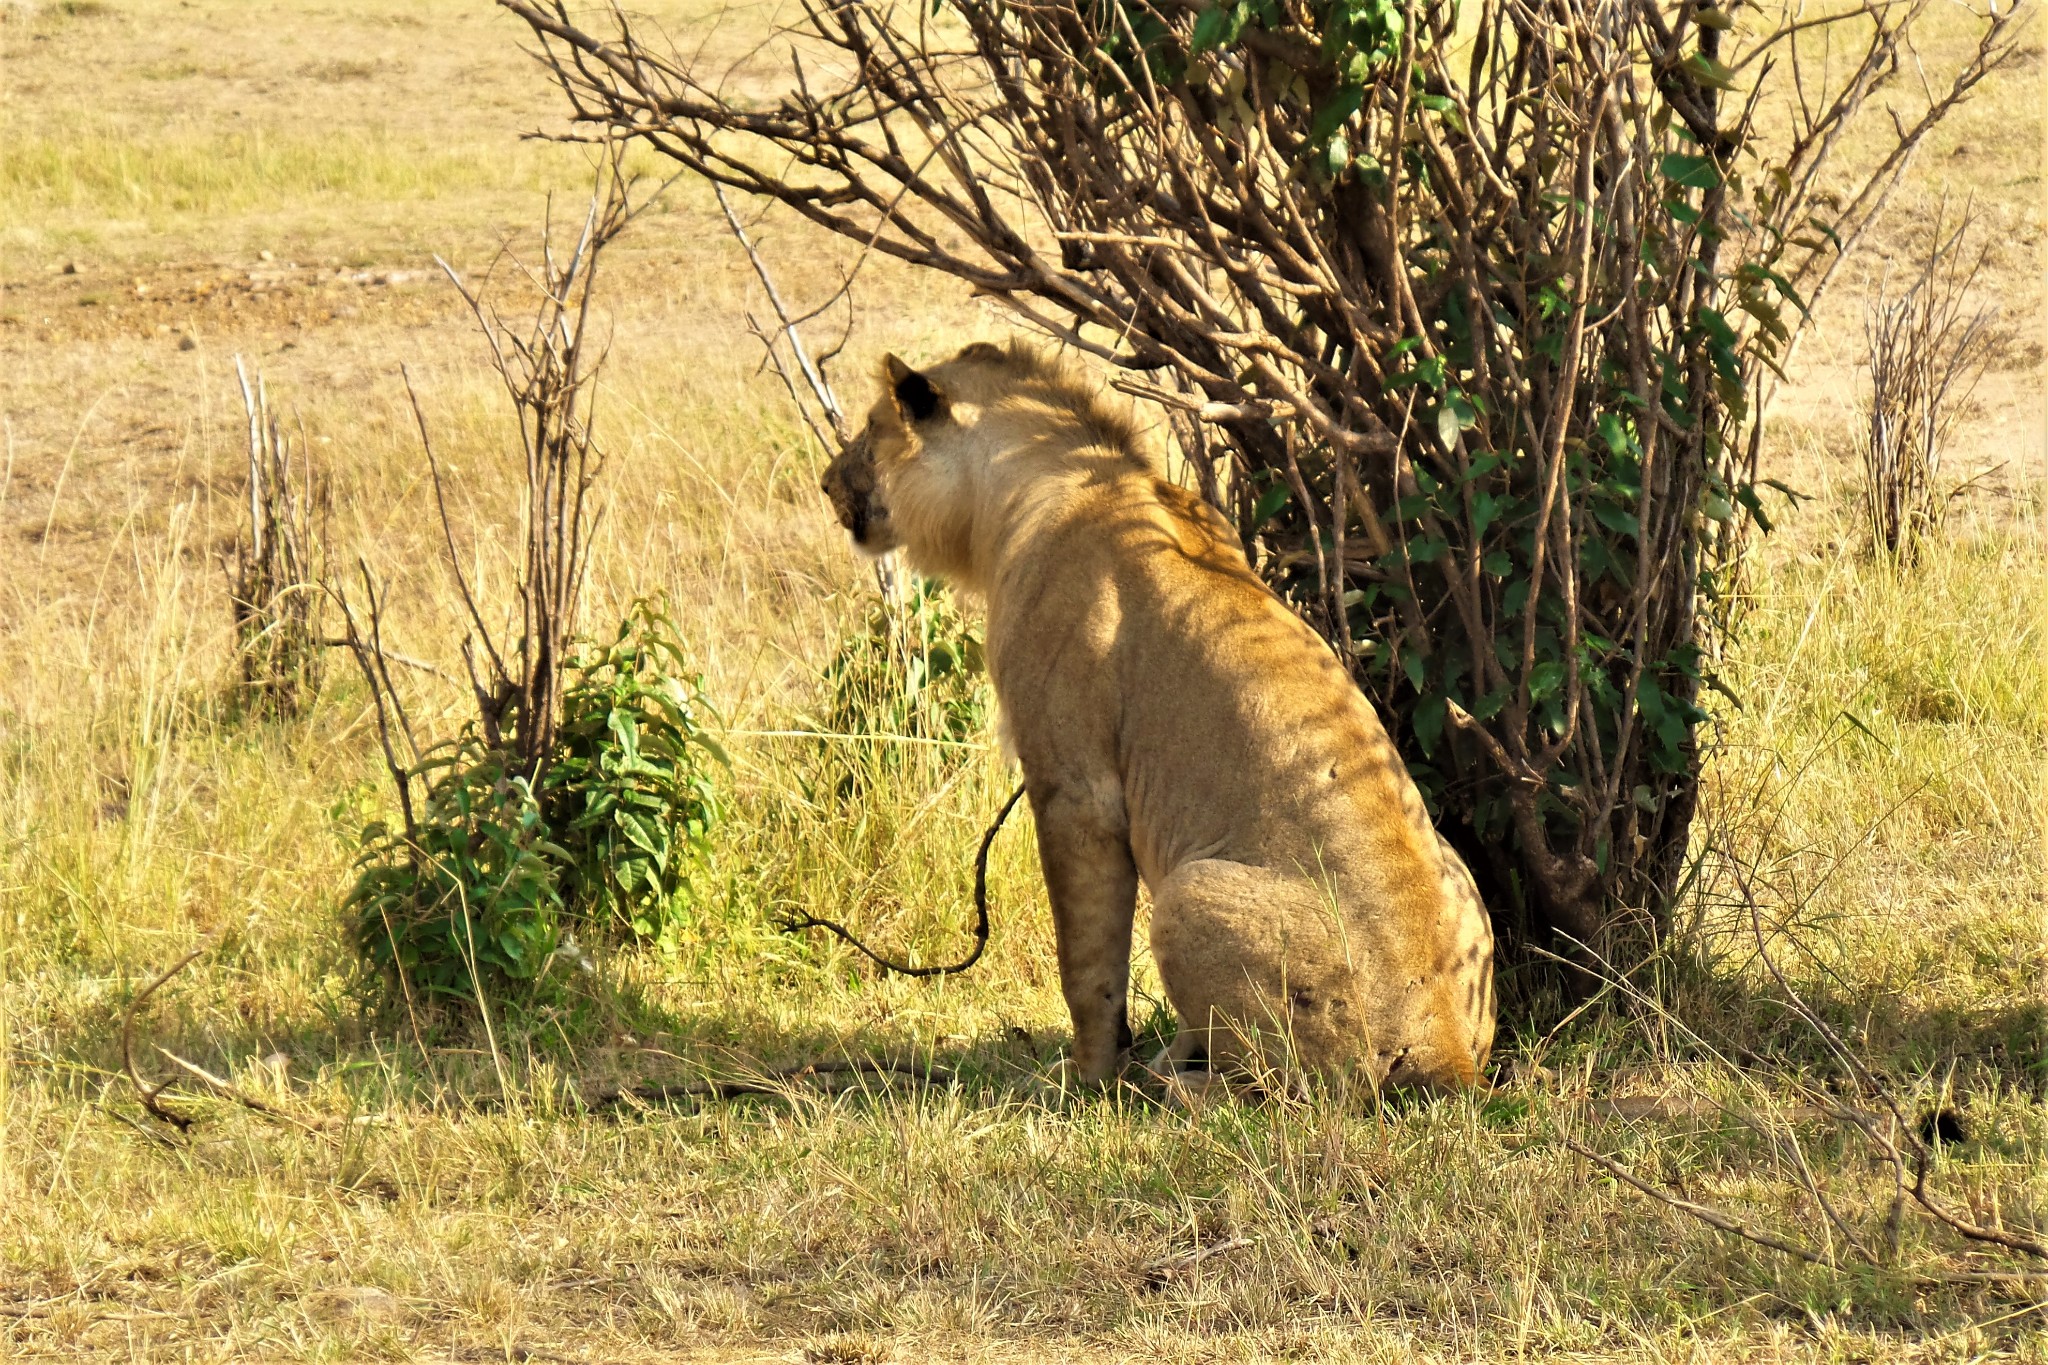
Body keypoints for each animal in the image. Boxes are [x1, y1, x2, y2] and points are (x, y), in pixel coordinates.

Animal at [811, 343, 1490, 1096]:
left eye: (871, 429)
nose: (826, 482)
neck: (1024, 485)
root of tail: (1450, 1048)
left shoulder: (1074, 787)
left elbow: (1086, 963)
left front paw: (1085, 1079)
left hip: (1192, 894)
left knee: (1271, 1092)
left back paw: (1177, 1085)